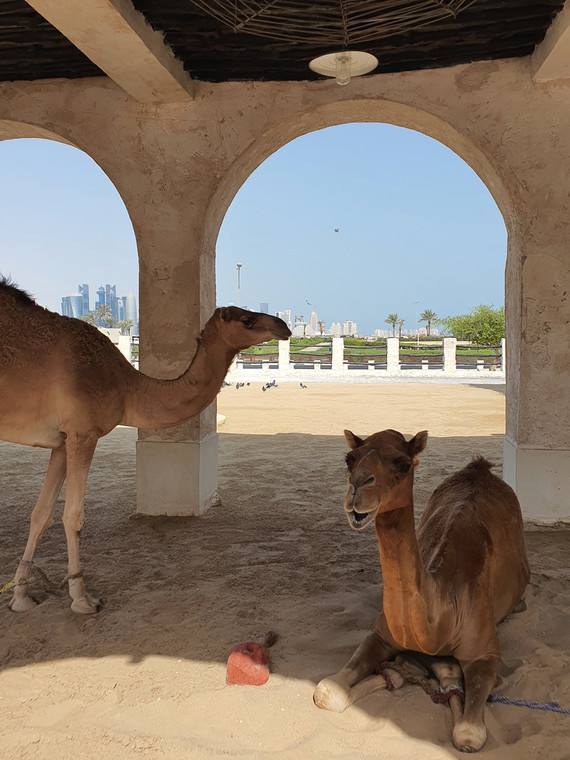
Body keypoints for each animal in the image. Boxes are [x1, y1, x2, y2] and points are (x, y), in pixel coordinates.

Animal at [0, 276, 290, 616]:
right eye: (246, 319)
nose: (284, 325)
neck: (126, 386)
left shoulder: (62, 440)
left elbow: (41, 513)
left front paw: (20, 596)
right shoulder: (83, 433)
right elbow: (73, 516)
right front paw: (82, 598)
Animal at [312, 428, 524, 756]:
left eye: (402, 463)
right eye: (349, 459)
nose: (357, 489)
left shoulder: (485, 652)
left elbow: (467, 735)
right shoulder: (382, 634)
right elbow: (327, 692)